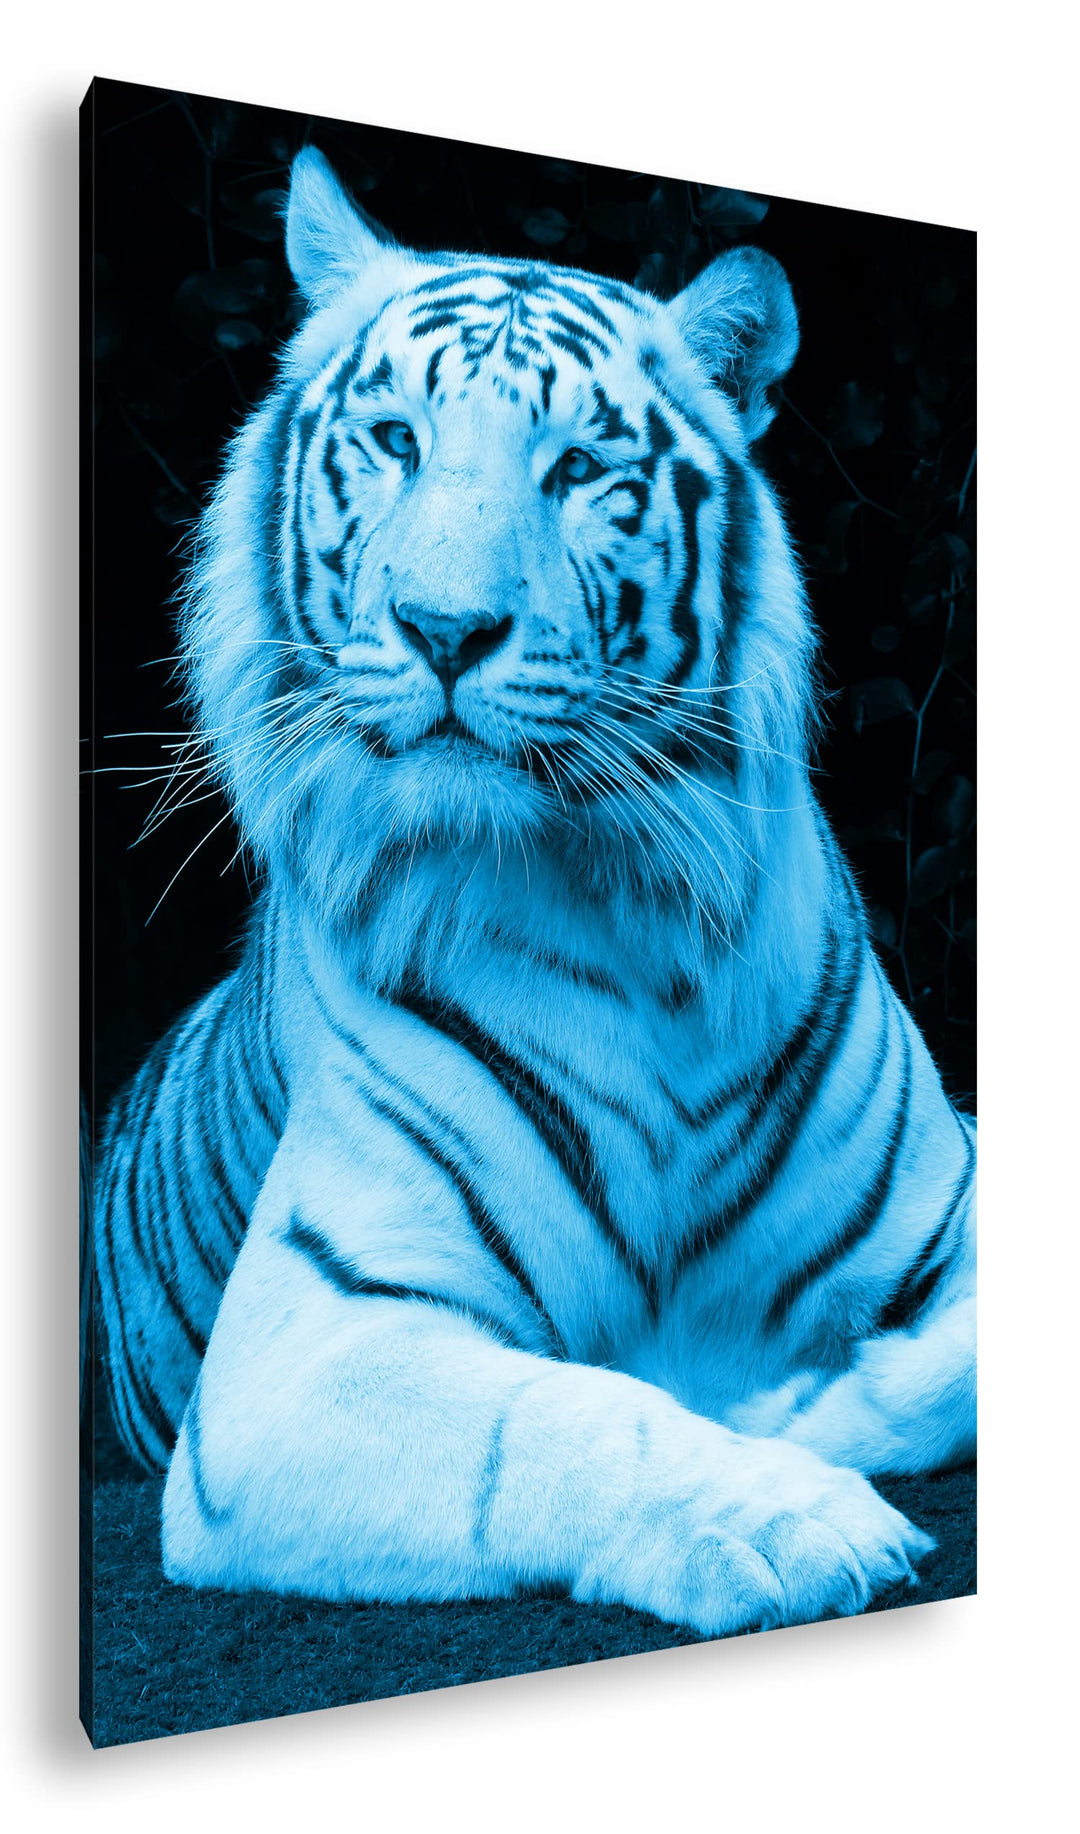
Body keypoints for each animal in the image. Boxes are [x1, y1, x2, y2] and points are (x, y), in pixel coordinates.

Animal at [95, 146, 975, 1640]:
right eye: (395, 439)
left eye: (579, 472)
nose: (445, 631)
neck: (635, 928)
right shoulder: (302, 1349)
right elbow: (572, 1414)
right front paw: (793, 1506)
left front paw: (808, 1407)